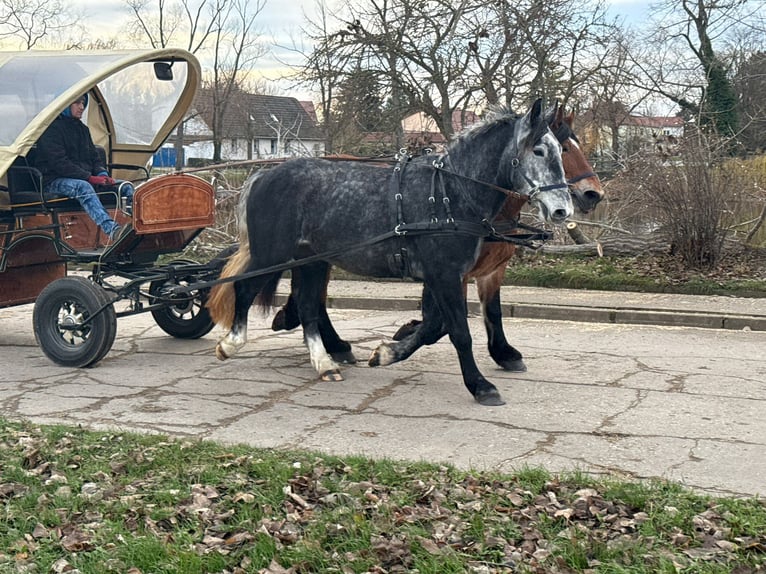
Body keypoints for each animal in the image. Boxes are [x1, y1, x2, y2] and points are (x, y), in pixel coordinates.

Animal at [272, 106, 608, 374]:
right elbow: (439, 322)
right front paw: (396, 343)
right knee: (312, 295)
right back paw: (329, 342)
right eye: (564, 149)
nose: (594, 193)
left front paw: (503, 352)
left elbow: (490, 311)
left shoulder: (488, 270)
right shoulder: (448, 271)